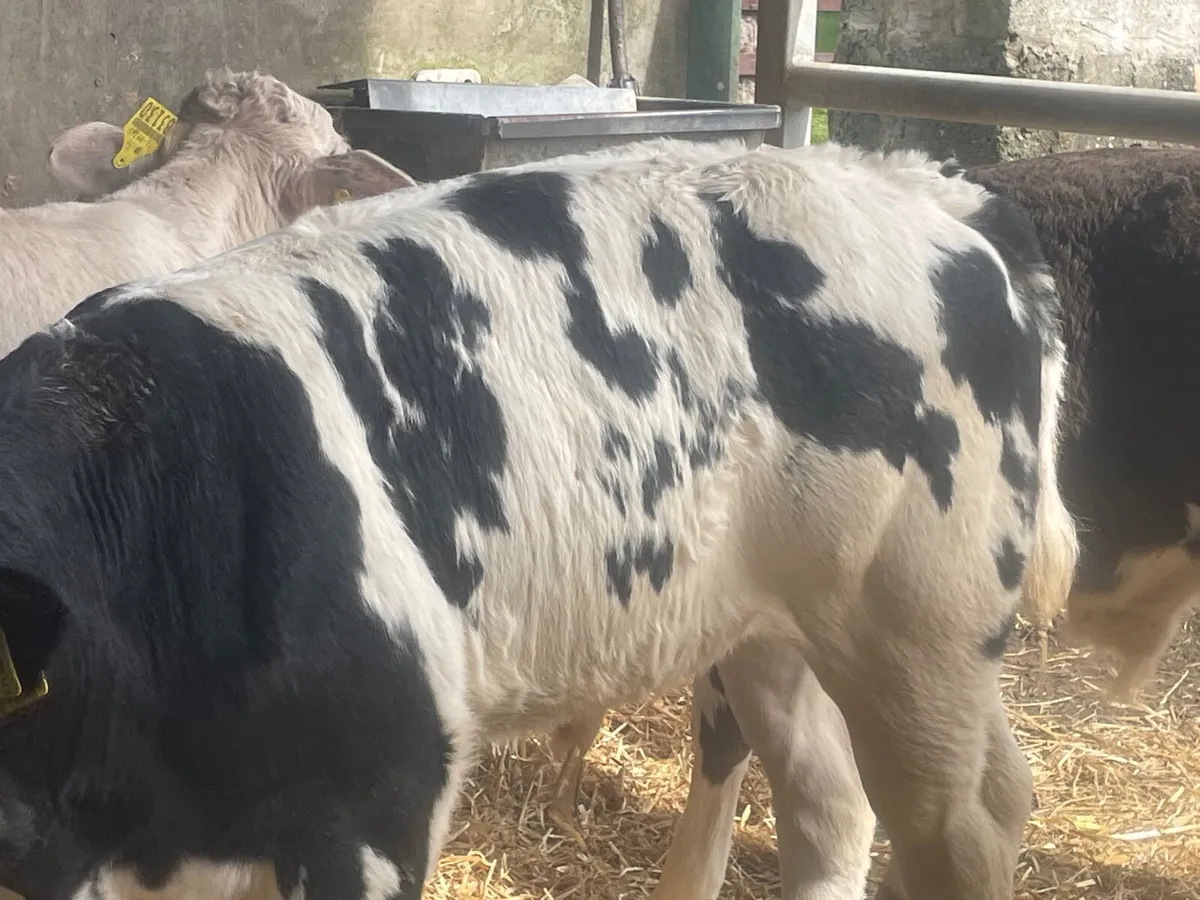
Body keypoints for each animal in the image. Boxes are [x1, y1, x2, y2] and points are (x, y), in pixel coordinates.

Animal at [0, 137, 1076, 900]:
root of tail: (915, 182)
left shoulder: (378, 803)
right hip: (775, 627)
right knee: (830, 803)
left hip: (922, 632)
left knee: (968, 828)